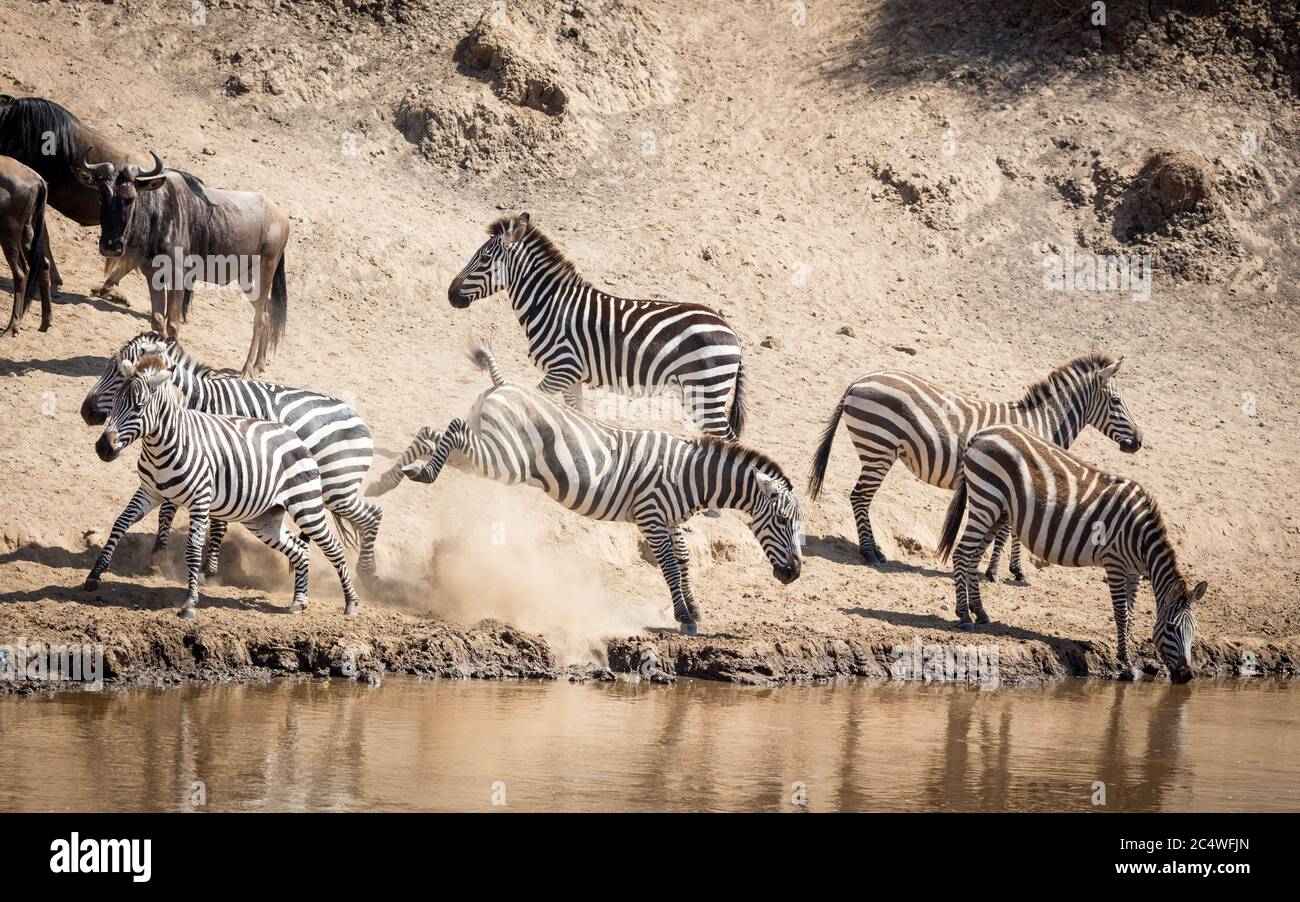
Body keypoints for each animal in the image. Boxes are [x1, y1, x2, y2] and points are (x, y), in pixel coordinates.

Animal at [81, 332, 383, 579]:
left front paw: (206, 568)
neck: (198, 402)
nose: (86, 412)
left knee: (372, 514)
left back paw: (368, 575)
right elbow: (171, 509)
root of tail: (360, 421)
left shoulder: (225, 464)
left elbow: (214, 521)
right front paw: (160, 557)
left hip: (335, 488)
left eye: (120, 375)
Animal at [367, 347, 803, 636]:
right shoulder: (651, 516)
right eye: (782, 521)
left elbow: (682, 560)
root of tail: (505, 385)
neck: (688, 474)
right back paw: (423, 475)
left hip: (487, 450)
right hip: (504, 460)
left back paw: (389, 478)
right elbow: (668, 565)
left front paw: (692, 609)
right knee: (453, 428)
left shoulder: (670, 520)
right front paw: (686, 618)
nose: (794, 574)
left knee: (431, 432)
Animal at [447, 212, 747, 440]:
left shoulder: (562, 369)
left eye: (484, 259)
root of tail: (732, 332)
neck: (549, 304)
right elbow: (576, 414)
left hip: (706, 391)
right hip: (693, 392)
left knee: (729, 439)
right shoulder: (573, 377)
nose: (450, 295)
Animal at [807, 354, 1142, 581]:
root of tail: (859, 381)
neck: (1040, 424)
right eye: (1115, 401)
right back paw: (869, 553)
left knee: (861, 498)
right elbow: (1008, 532)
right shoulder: (1018, 479)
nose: (1138, 442)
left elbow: (1012, 530)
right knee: (860, 497)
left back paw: (875, 550)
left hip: (878, 449)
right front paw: (1000, 571)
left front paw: (1010, 570)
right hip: (878, 447)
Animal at [937, 423, 1205, 683]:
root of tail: (982, 433)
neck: (1141, 539)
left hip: (998, 511)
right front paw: (1128, 666)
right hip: (986, 501)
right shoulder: (1115, 564)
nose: (1187, 676)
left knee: (972, 558)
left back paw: (980, 612)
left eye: (1193, 629)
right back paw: (965, 616)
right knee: (961, 554)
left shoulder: (1134, 572)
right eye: (1170, 628)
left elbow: (1130, 615)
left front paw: (1126, 658)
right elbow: (1121, 614)